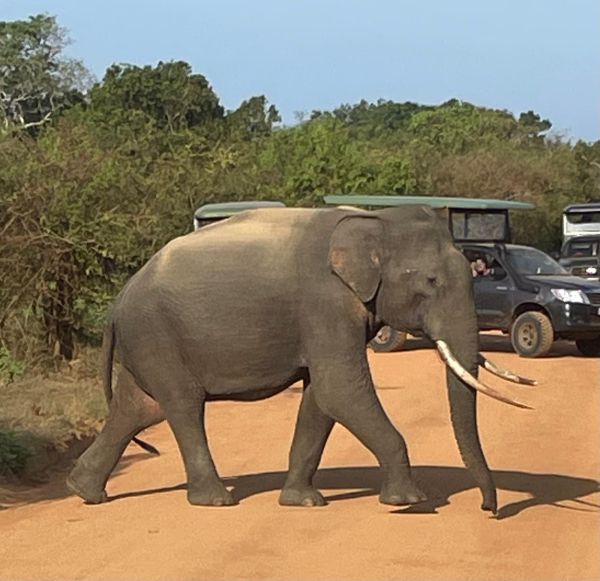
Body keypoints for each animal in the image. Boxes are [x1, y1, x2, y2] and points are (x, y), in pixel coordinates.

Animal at [67, 204, 536, 512]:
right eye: (432, 281)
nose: (489, 509)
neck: (375, 219)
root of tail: (118, 301)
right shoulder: (324, 302)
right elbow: (339, 390)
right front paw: (408, 501)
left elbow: (321, 398)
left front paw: (303, 502)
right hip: (157, 333)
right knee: (182, 406)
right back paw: (216, 500)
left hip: (148, 340)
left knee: (138, 408)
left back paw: (85, 492)